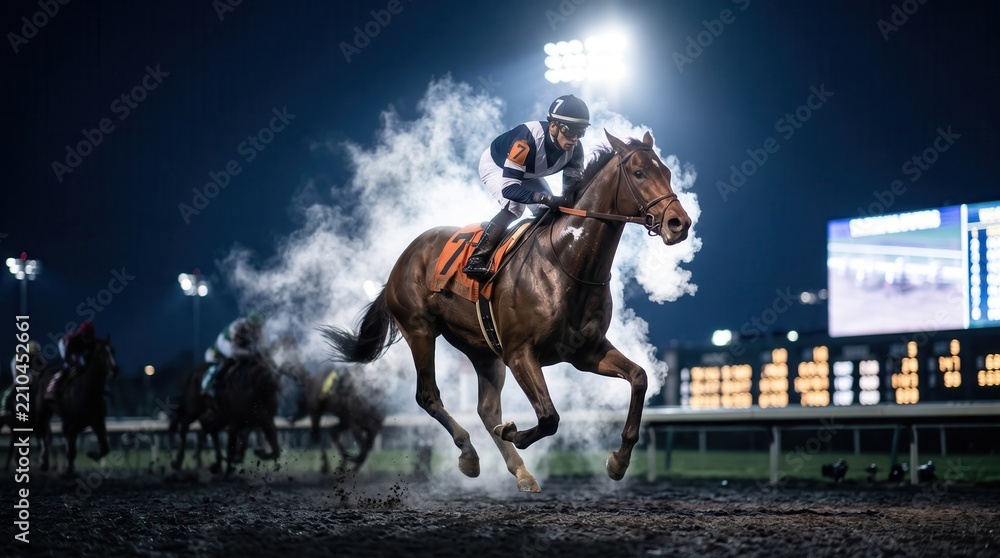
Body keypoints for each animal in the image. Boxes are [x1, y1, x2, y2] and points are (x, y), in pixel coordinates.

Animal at [38, 336, 121, 476]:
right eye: (102, 353)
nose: (115, 370)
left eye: (113, 351)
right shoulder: (71, 423)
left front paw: (93, 454)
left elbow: (104, 447)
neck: (88, 392)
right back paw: (44, 462)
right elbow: (71, 450)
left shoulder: (98, 422)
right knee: (43, 434)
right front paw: (67, 472)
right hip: (42, 411)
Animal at [323, 131, 691, 492]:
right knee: (428, 396)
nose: (680, 223)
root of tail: (402, 260)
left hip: (482, 349)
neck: (566, 262)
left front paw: (619, 461)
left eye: (667, 172)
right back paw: (469, 453)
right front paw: (514, 432)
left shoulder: (585, 351)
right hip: (420, 331)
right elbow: (549, 417)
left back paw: (519, 470)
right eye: (639, 173)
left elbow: (639, 377)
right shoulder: (519, 353)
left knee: (486, 409)